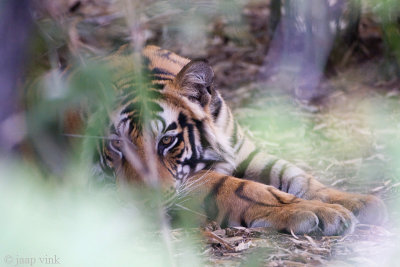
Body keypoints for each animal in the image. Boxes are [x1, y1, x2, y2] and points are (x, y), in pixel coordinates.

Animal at [86, 46, 388, 237]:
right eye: (116, 145)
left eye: (167, 141)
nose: (141, 201)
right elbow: (244, 189)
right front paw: (319, 213)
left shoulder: (245, 152)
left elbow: (297, 176)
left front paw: (356, 200)